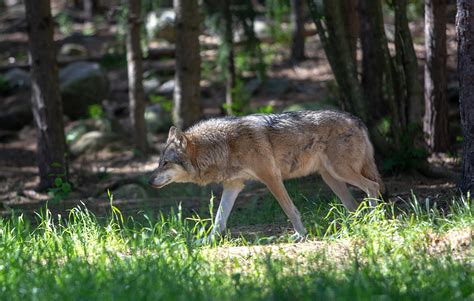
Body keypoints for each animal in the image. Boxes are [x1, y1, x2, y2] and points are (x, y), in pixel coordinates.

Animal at [150, 109, 384, 237]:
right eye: (159, 163)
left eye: (166, 163)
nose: (150, 181)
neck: (224, 145)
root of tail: (357, 119)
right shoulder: (234, 185)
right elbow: (219, 220)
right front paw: (205, 242)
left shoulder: (271, 177)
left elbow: (290, 210)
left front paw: (301, 235)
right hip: (331, 178)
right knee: (353, 205)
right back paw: (353, 228)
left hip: (340, 172)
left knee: (373, 186)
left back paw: (373, 220)